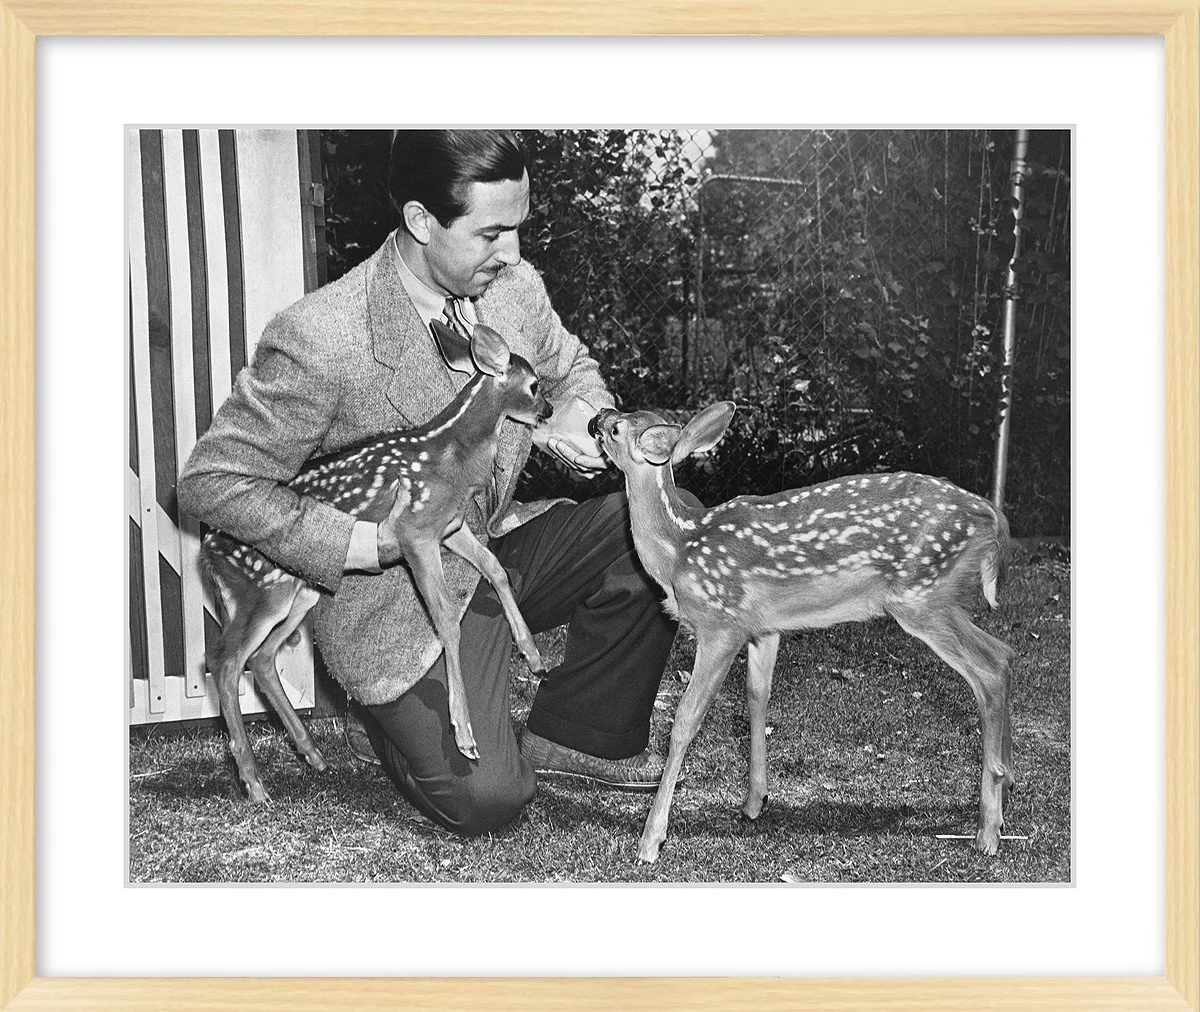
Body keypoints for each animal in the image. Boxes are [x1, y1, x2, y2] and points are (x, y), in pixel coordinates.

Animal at [199, 320, 550, 804]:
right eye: (534, 385)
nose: (549, 410)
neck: (453, 451)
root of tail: (207, 553)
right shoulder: (414, 531)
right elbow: (446, 619)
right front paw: (464, 735)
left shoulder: (450, 526)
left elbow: (495, 569)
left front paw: (533, 656)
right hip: (258, 591)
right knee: (225, 661)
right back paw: (254, 782)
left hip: (301, 592)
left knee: (265, 657)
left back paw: (313, 755)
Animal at [588, 401, 1015, 864]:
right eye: (619, 412)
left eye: (616, 428)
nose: (595, 418)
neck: (678, 551)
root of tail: (993, 519)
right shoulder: (764, 628)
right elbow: (756, 697)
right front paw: (755, 801)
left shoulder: (722, 624)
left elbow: (685, 719)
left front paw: (651, 840)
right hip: (938, 599)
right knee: (1004, 653)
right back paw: (1005, 793)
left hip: (921, 596)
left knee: (990, 669)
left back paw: (988, 830)